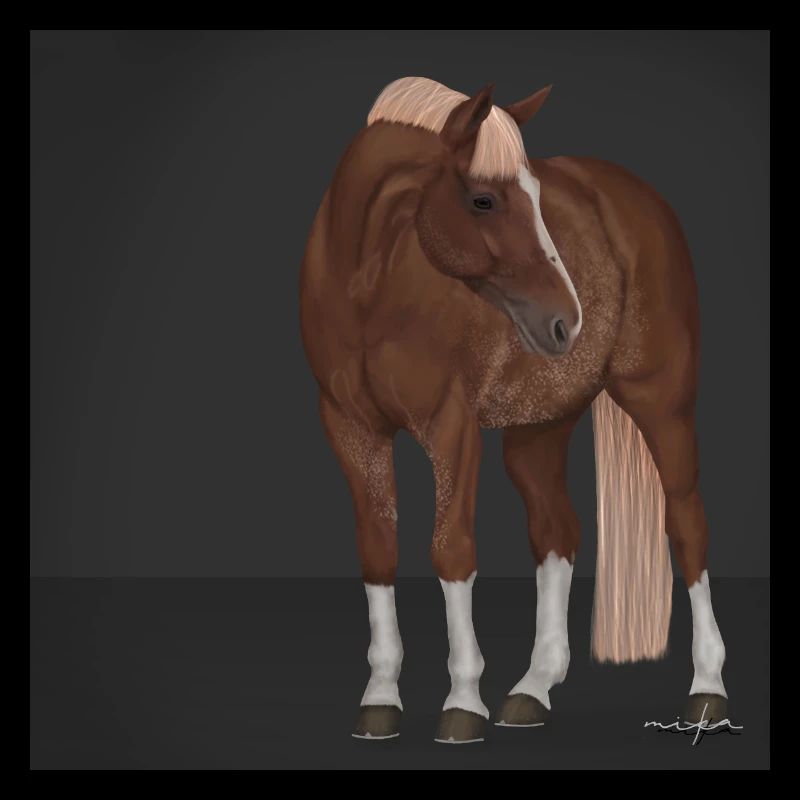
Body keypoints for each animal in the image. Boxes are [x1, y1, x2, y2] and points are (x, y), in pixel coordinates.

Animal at [299, 76, 728, 743]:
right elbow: (378, 549)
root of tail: (636, 197)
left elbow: (452, 549)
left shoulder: (451, 428)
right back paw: (532, 690)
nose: (566, 322)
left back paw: (707, 690)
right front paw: (380, 699)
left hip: (663, 404)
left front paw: (461, 703)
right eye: (483, 200)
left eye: (535, 199)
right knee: (557, 532)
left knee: (687, 525)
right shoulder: (349, 428)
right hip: (539, 427)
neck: (368, 282)